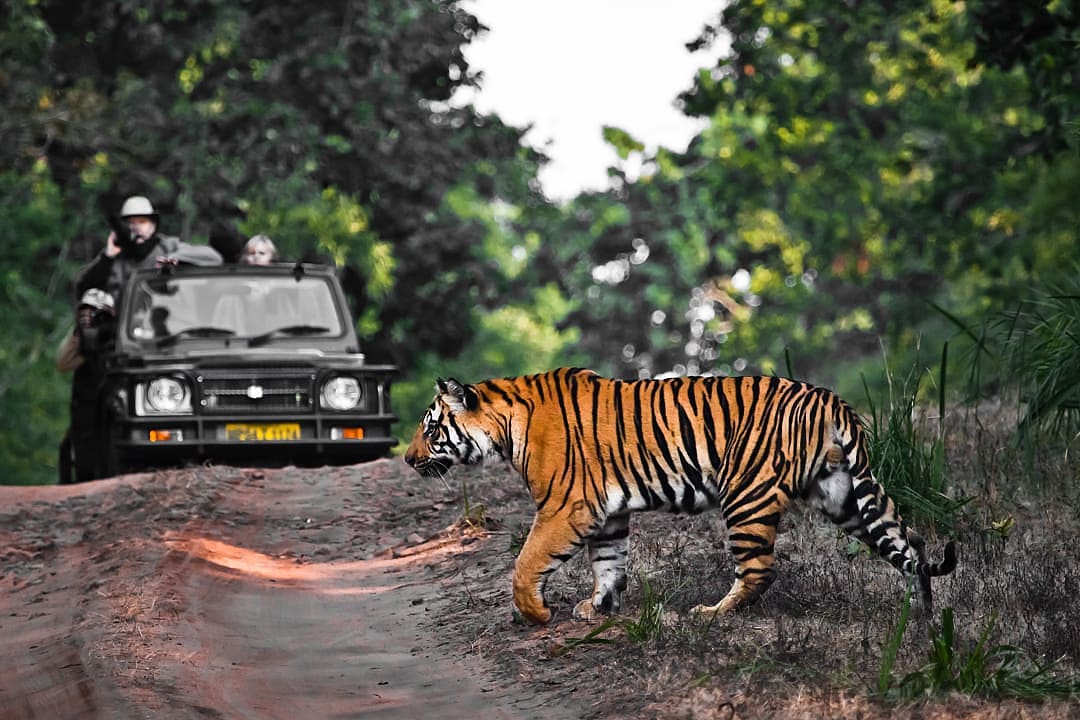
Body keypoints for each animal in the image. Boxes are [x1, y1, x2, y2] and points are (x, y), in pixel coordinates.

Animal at [404, 367, 957, 625]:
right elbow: (609, 562)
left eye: (431, 428)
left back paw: (713, 614)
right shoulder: (606, 513)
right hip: (843, 495)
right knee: (909, 542)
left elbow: (525, 563)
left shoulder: (566, 507)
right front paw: (599, 607)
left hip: (747, 495)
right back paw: (923, 614)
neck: (507, 426)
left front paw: (536, 615)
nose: (408, 459)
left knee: (760, 569)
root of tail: (830, 398)